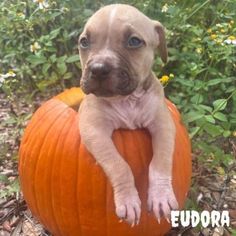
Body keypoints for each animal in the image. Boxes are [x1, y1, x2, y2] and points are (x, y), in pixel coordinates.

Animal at [78, 3, 178, 225]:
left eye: (134, 41)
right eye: (84, 42)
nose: (98, 69)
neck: (127, 99)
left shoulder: (164, 125)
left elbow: (161, 161)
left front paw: (160, 196)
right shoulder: (94, 130)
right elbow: (119, 165)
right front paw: (128, 200)